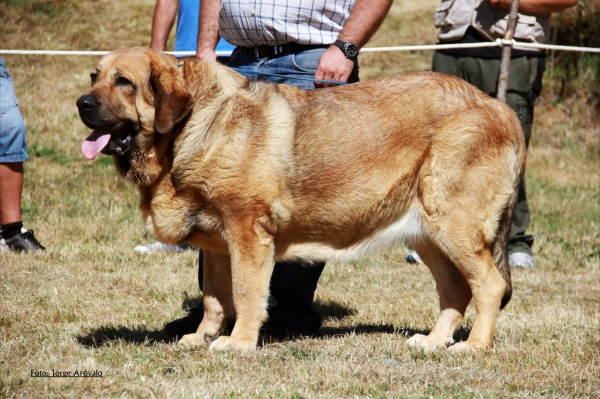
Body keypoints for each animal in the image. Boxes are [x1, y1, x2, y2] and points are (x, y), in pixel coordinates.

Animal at [76, 46, 524, 354]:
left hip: (454, 226)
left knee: (490, 286)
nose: (82, 103)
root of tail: (499, 107)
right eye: (95, 76)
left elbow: (246, 294)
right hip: (428, 234)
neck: (194, 127)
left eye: (124, 82)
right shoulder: (218, 245)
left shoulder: (248, 235)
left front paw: (238, 343)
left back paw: (474, 346)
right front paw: (201, 337)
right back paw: (433, 342)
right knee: (455, 291)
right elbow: (214, 299)